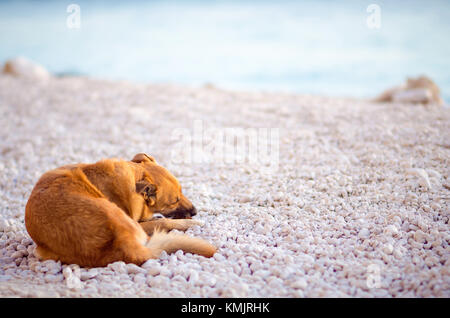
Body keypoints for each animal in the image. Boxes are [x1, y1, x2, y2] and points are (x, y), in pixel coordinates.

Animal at [23, 153, 217, 268]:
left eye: (182, 191)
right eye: (174, 201)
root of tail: (123, 243)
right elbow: (164, 220)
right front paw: (192, 221)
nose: (195, 211)